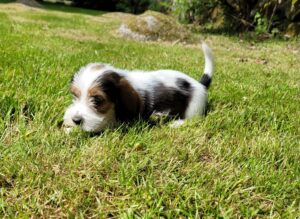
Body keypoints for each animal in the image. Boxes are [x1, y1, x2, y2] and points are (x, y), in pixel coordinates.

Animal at [63, 42, 213, 132]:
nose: (76, 120)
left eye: (97, 100)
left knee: (193, 120)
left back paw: (176, 123)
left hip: (194, 108)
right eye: (75, 95)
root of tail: (199, 83)